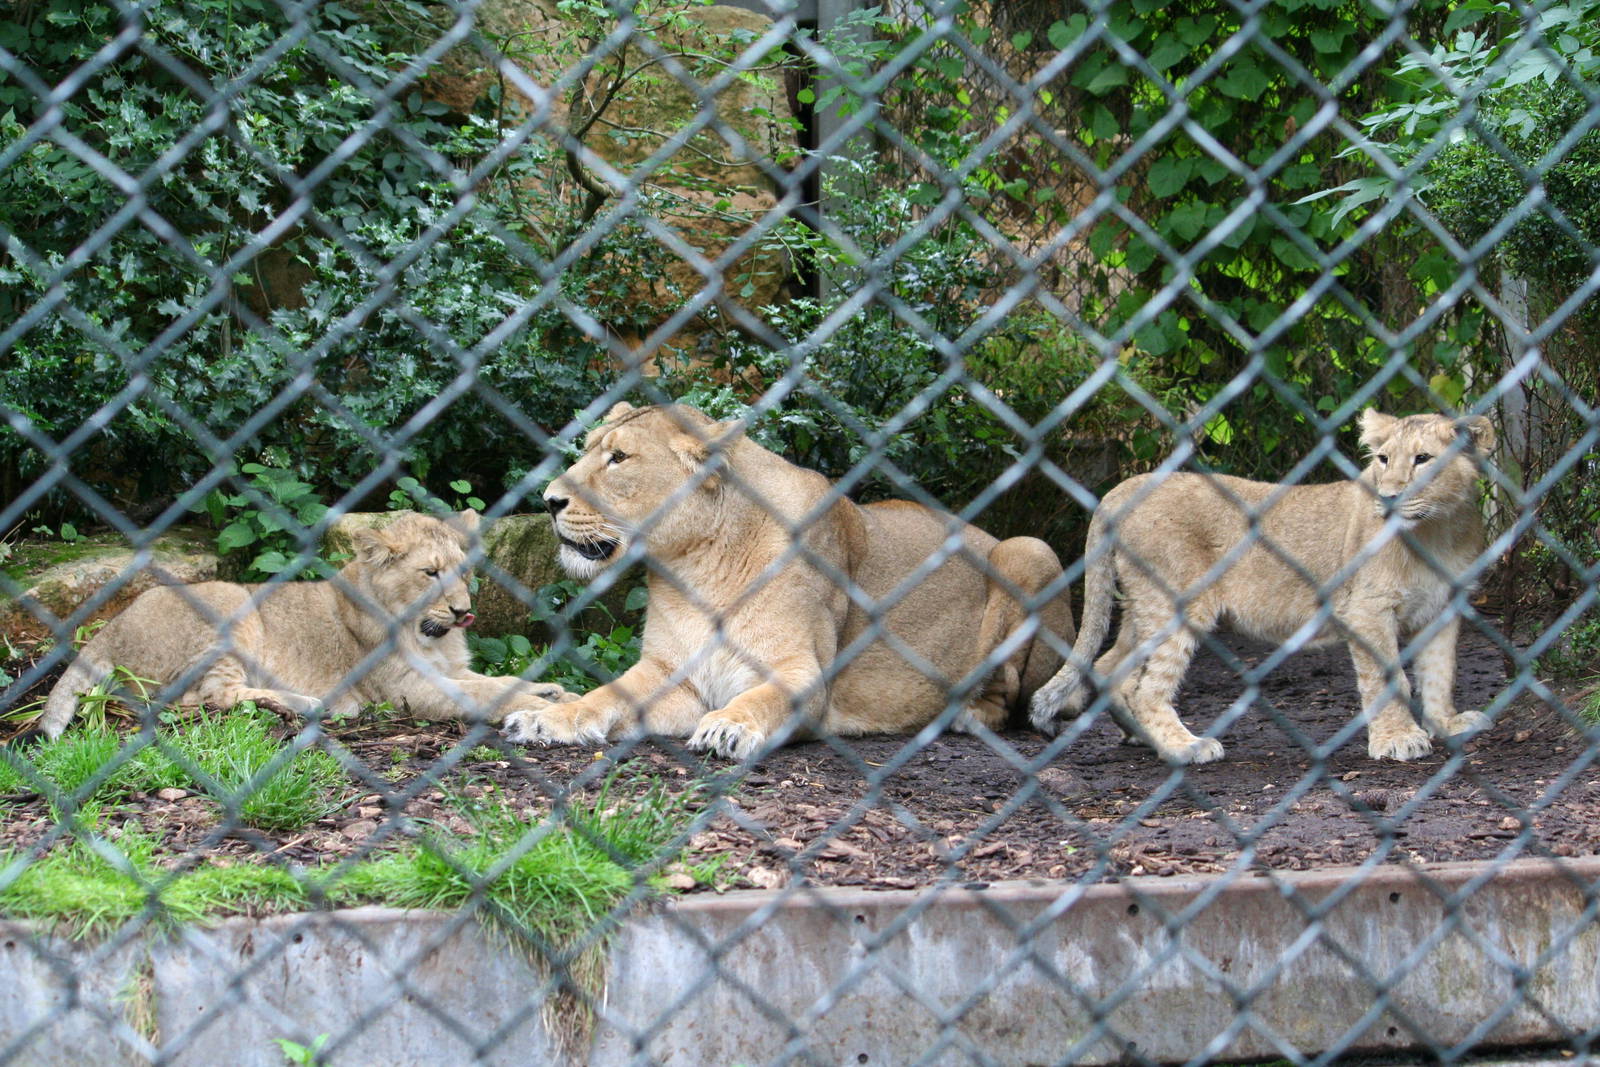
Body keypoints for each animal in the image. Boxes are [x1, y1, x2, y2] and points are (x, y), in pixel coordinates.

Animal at [38, 510, 570, 738]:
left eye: (464, 572)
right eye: (430, 573)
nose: (463, 612)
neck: (430, 636)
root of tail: (108, 628)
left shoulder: (451, 669)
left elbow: (496, 679)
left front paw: (550, 691)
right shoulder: (412, 691)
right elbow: (485, 694)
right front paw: (542, 707)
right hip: (233, 606)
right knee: (205, 699)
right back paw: (308, 704)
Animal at [501, 402, 1075, 760]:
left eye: (618, 458)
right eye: (589, 448)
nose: (548, 500)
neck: (695, 567)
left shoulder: (803, 675)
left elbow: (761, 700)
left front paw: (730, 726)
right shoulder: (671, 673)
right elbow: (605, 696)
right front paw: (548, 718)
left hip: (1029, 550)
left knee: (1010, 699)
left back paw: (967, 714)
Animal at [1029, 410, 1496, 764]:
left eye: (1423, 459)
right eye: (1383, 459)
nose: (1390, 496)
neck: (1438, 530)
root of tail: (1128, 485)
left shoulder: (1443, 606)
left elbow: (1441, 672)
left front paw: (1448, 724)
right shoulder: (1366, 609)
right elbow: (1390, 679)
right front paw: (1398, 739)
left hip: (1144, 603)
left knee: (1111, 667)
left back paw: (1145, 739)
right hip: (1178, 602)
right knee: (1144, 688)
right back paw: (1185, 747)